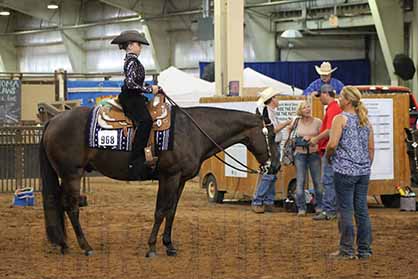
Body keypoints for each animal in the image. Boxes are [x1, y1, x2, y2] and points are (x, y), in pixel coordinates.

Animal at [40, 105, 280, 258]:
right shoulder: (169, 177)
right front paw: (152, 247)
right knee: (71, 207)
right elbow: (160, 211)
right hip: (72, 174)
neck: (192, 131)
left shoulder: (180, 179)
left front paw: (169, 246)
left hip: (66, 175)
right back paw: (85, 246)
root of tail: (53, 119)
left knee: (60, 204)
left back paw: (63, 244)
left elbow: (171, 211)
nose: (276, 166)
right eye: (272, 136)